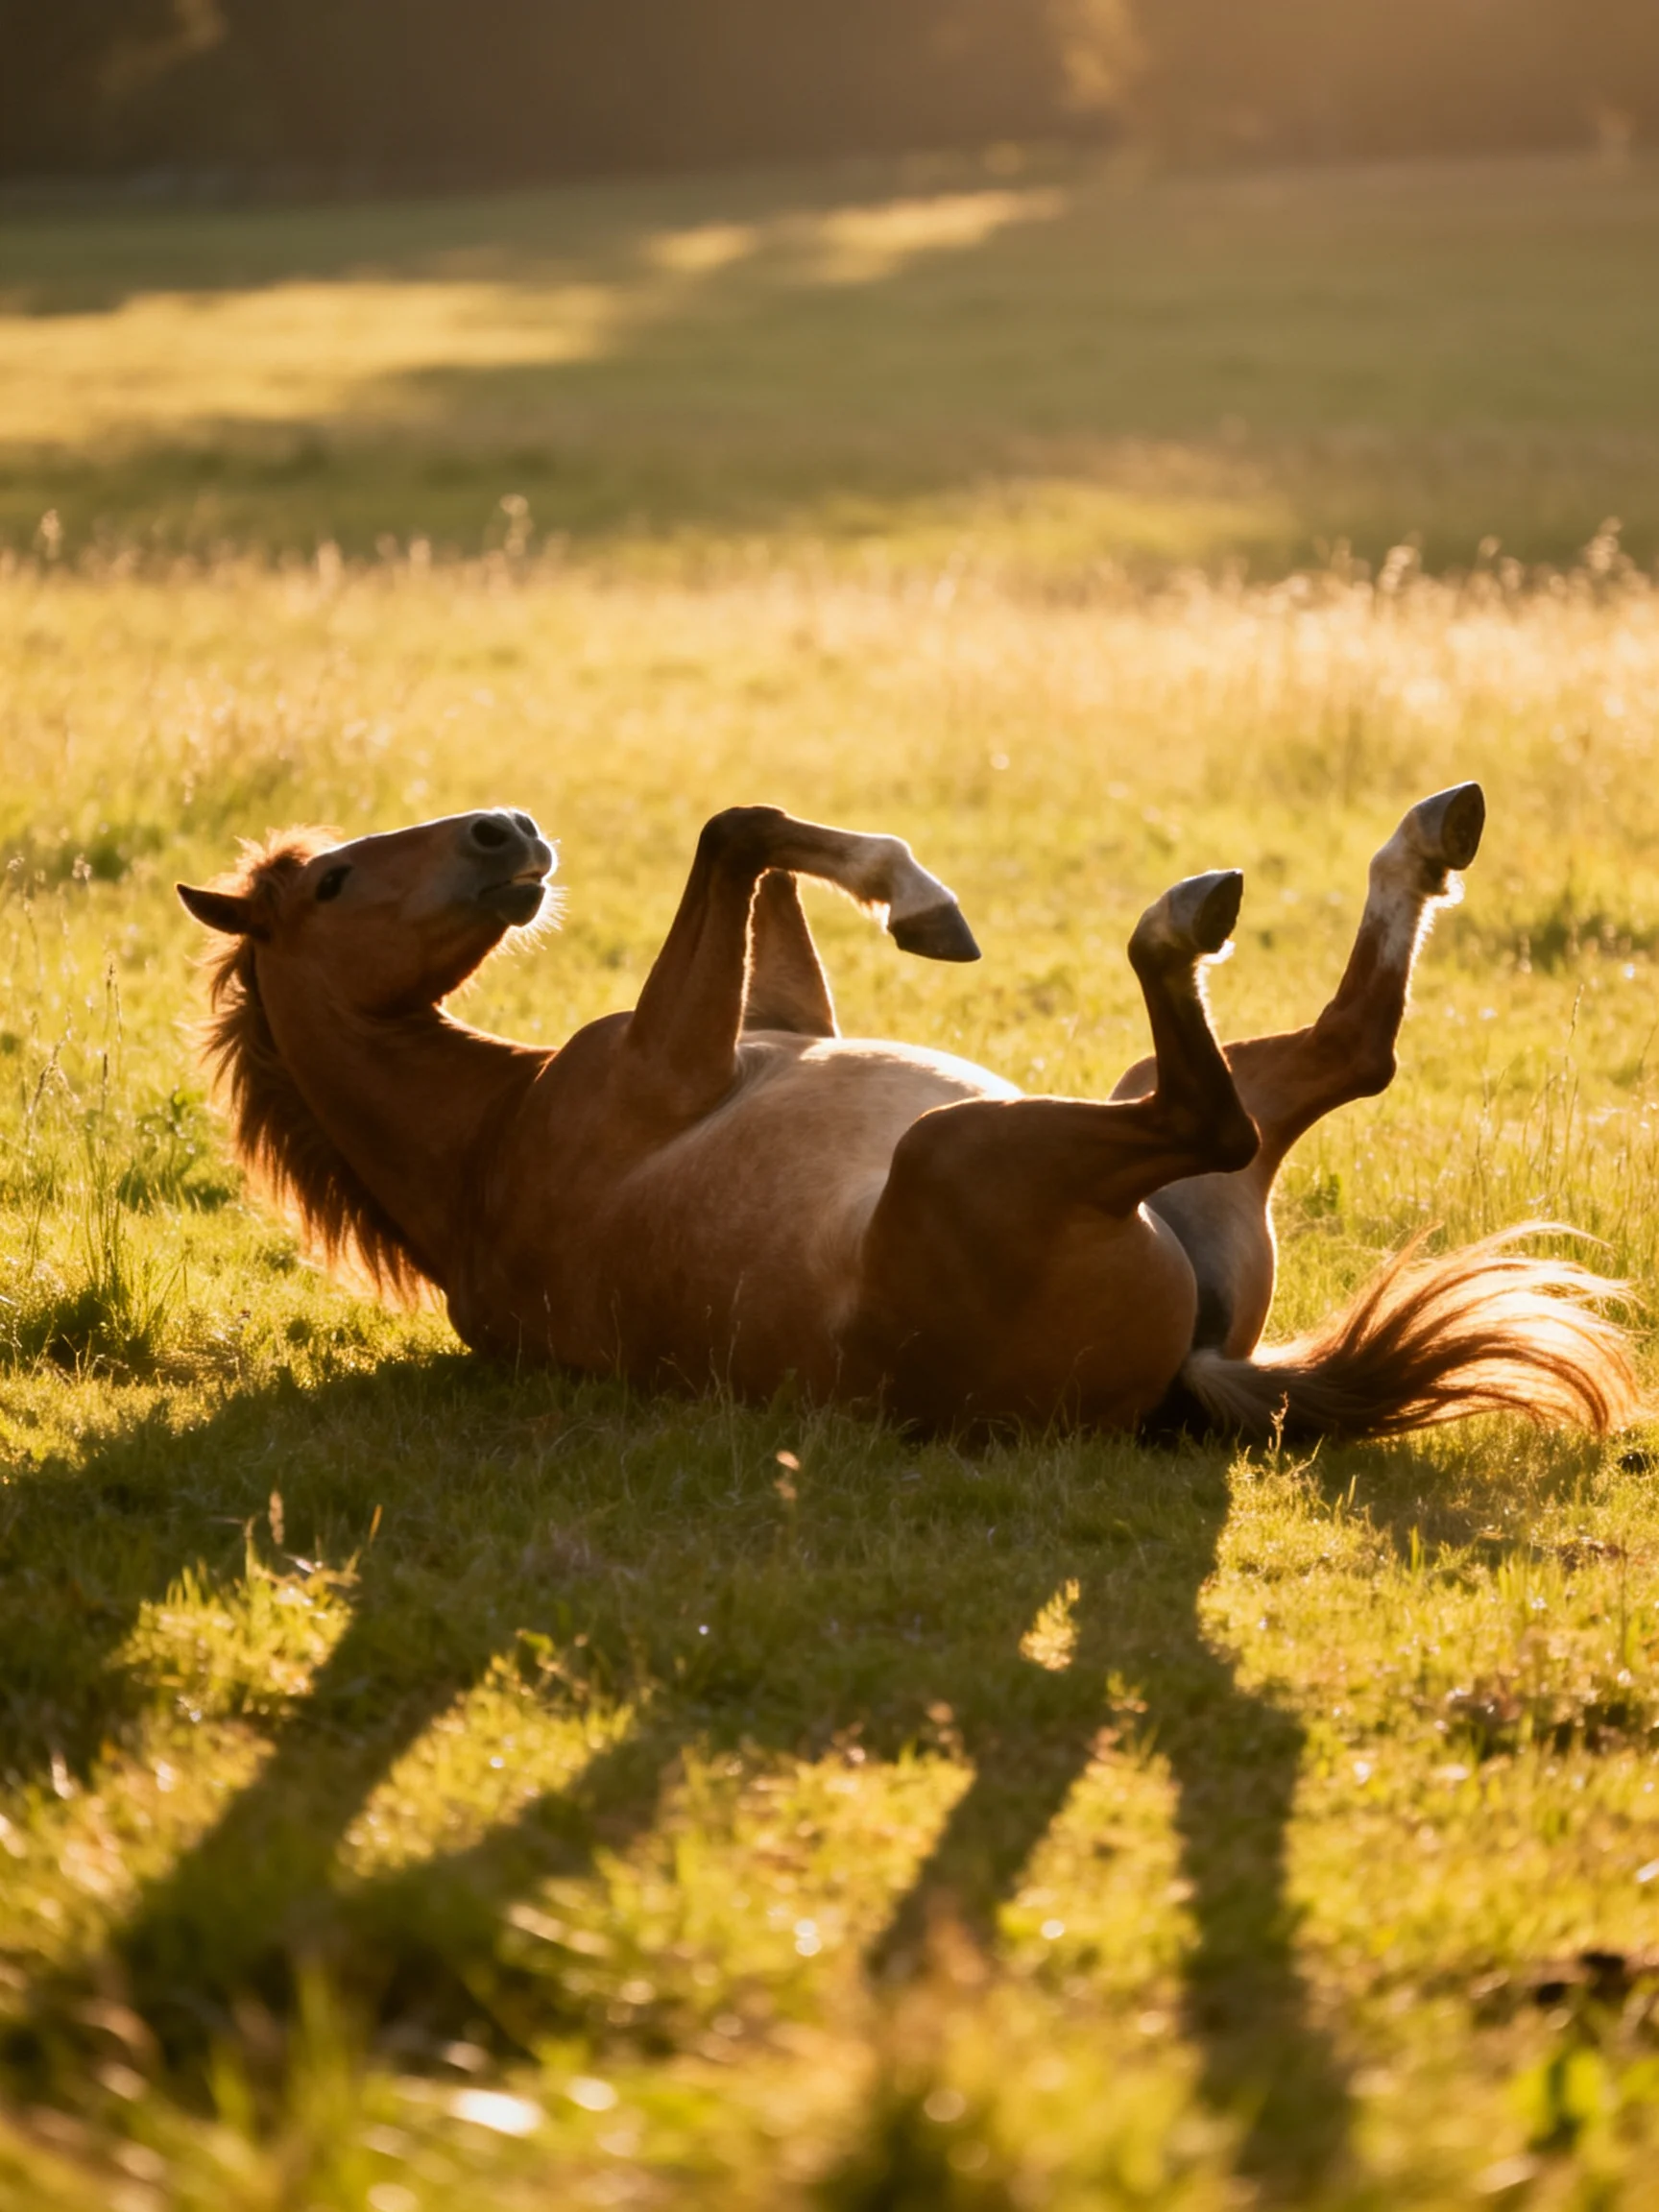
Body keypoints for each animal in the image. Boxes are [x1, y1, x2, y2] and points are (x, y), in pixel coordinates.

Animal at [177, 786, 1640, 1439]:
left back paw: (1425, 839)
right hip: (992, 1141)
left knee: (1342, 1053)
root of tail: (1184, 1374)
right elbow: (736, 829)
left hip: (1146, 1138)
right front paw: (921, 897)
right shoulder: (672, 1057)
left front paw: (913, 902)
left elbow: (764, 863)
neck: (487, 1143)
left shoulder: (775, 1016)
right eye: (332, 885)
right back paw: (1187, 918)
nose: (505, 831)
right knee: (1222, 1106)